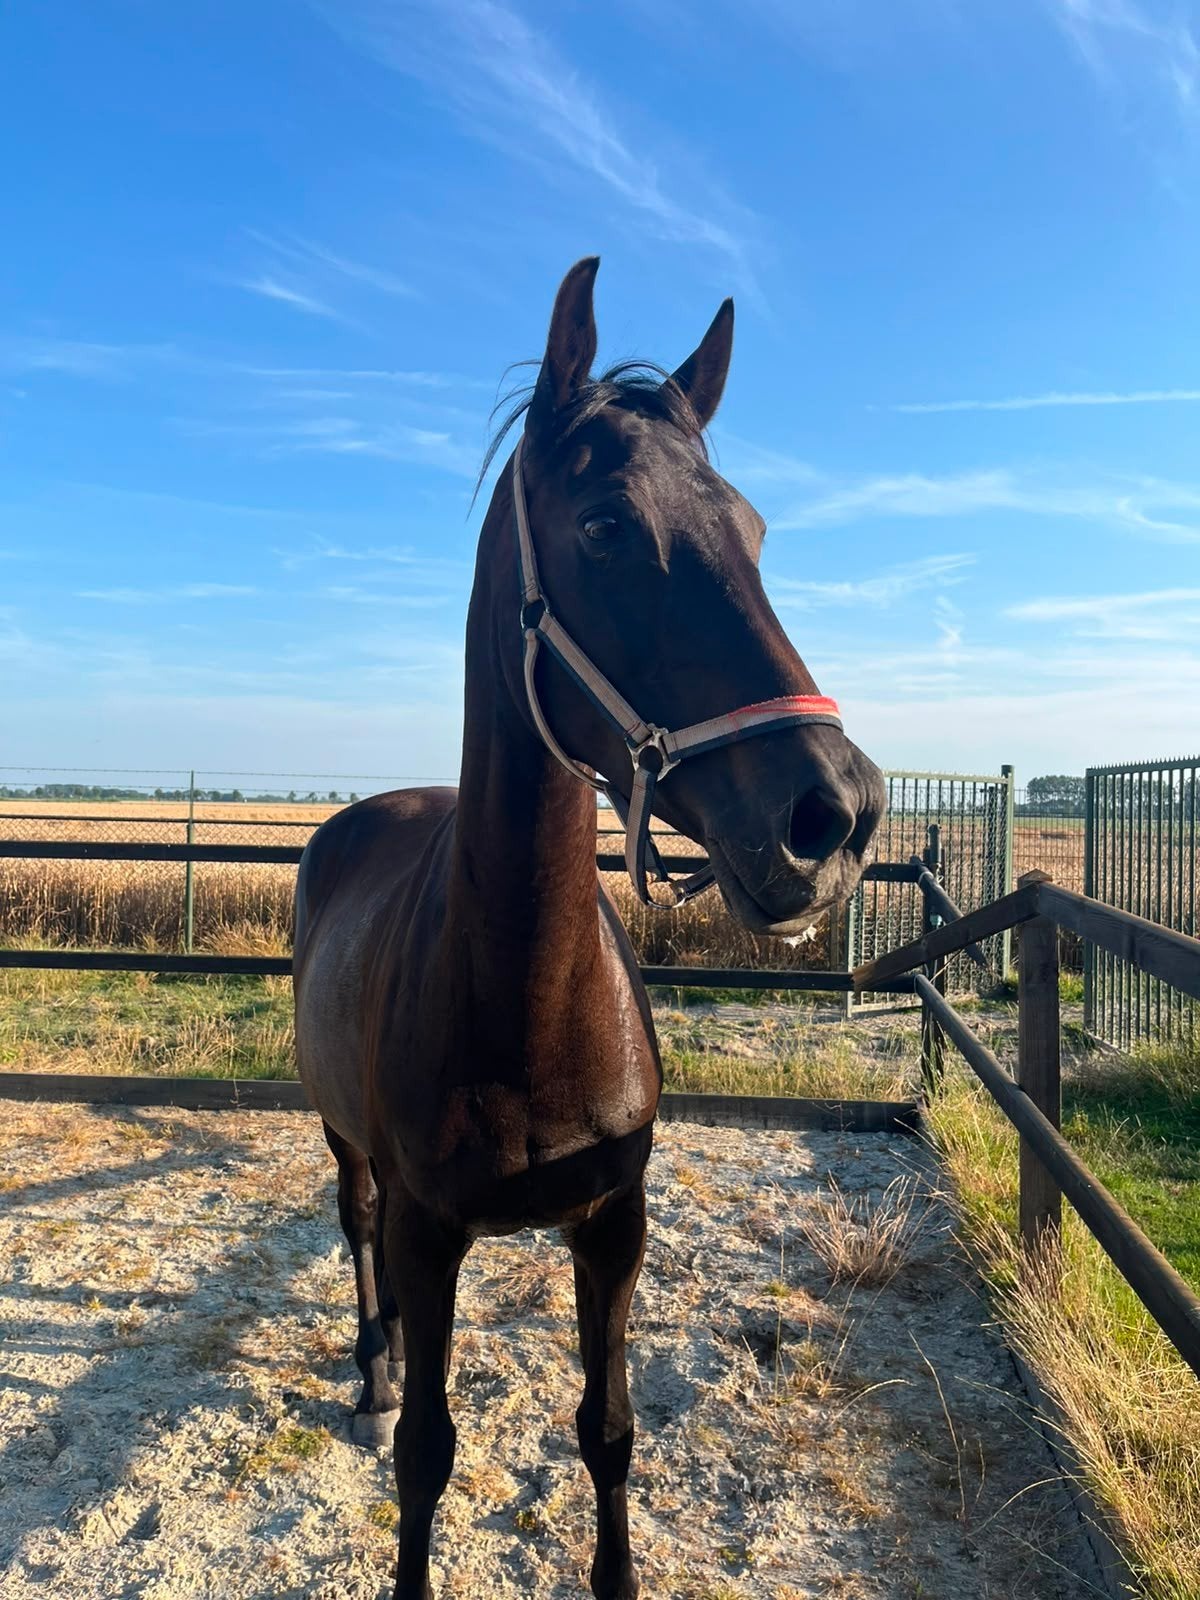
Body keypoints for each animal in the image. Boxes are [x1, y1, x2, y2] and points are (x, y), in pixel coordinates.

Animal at [293, 257, 886, 1600]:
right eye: (609, 524)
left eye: (754, 530)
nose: (834, 813)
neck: (525, 996)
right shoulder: (429, 1228)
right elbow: (425, 1454)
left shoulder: (615, 1225)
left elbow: (608, 1430)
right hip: (346, 1142)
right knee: (355, 1231)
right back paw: (372, 1360)